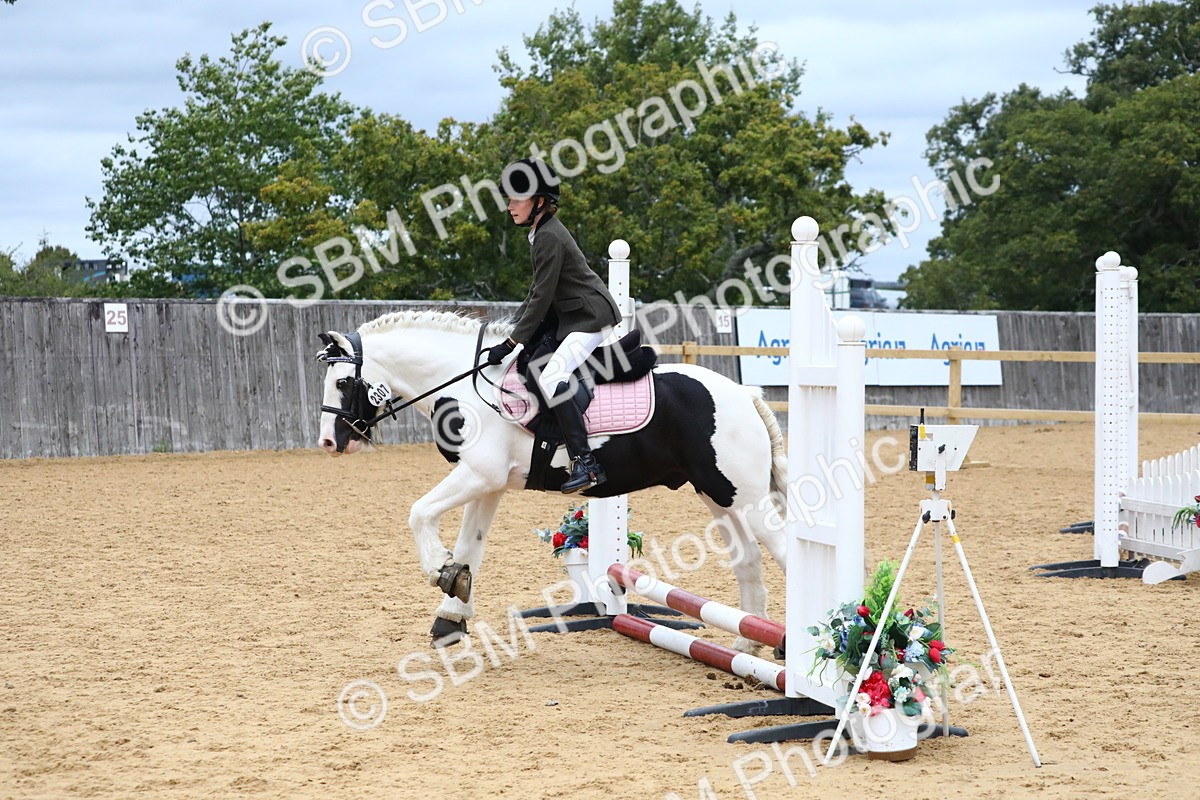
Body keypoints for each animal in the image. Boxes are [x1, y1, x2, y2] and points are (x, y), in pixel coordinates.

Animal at [315, 309, 788, 650]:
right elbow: (470, 549)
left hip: (744, 497)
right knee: (748, 560)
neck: (467, 389)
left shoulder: (477, 474)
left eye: (344, 381)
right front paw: (450, 612)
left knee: (784, 550)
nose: (327, 442)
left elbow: (418, 513)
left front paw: (437, 569)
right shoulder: (488, 484)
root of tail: (743, 394)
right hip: (719, 495)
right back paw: (747, 643)